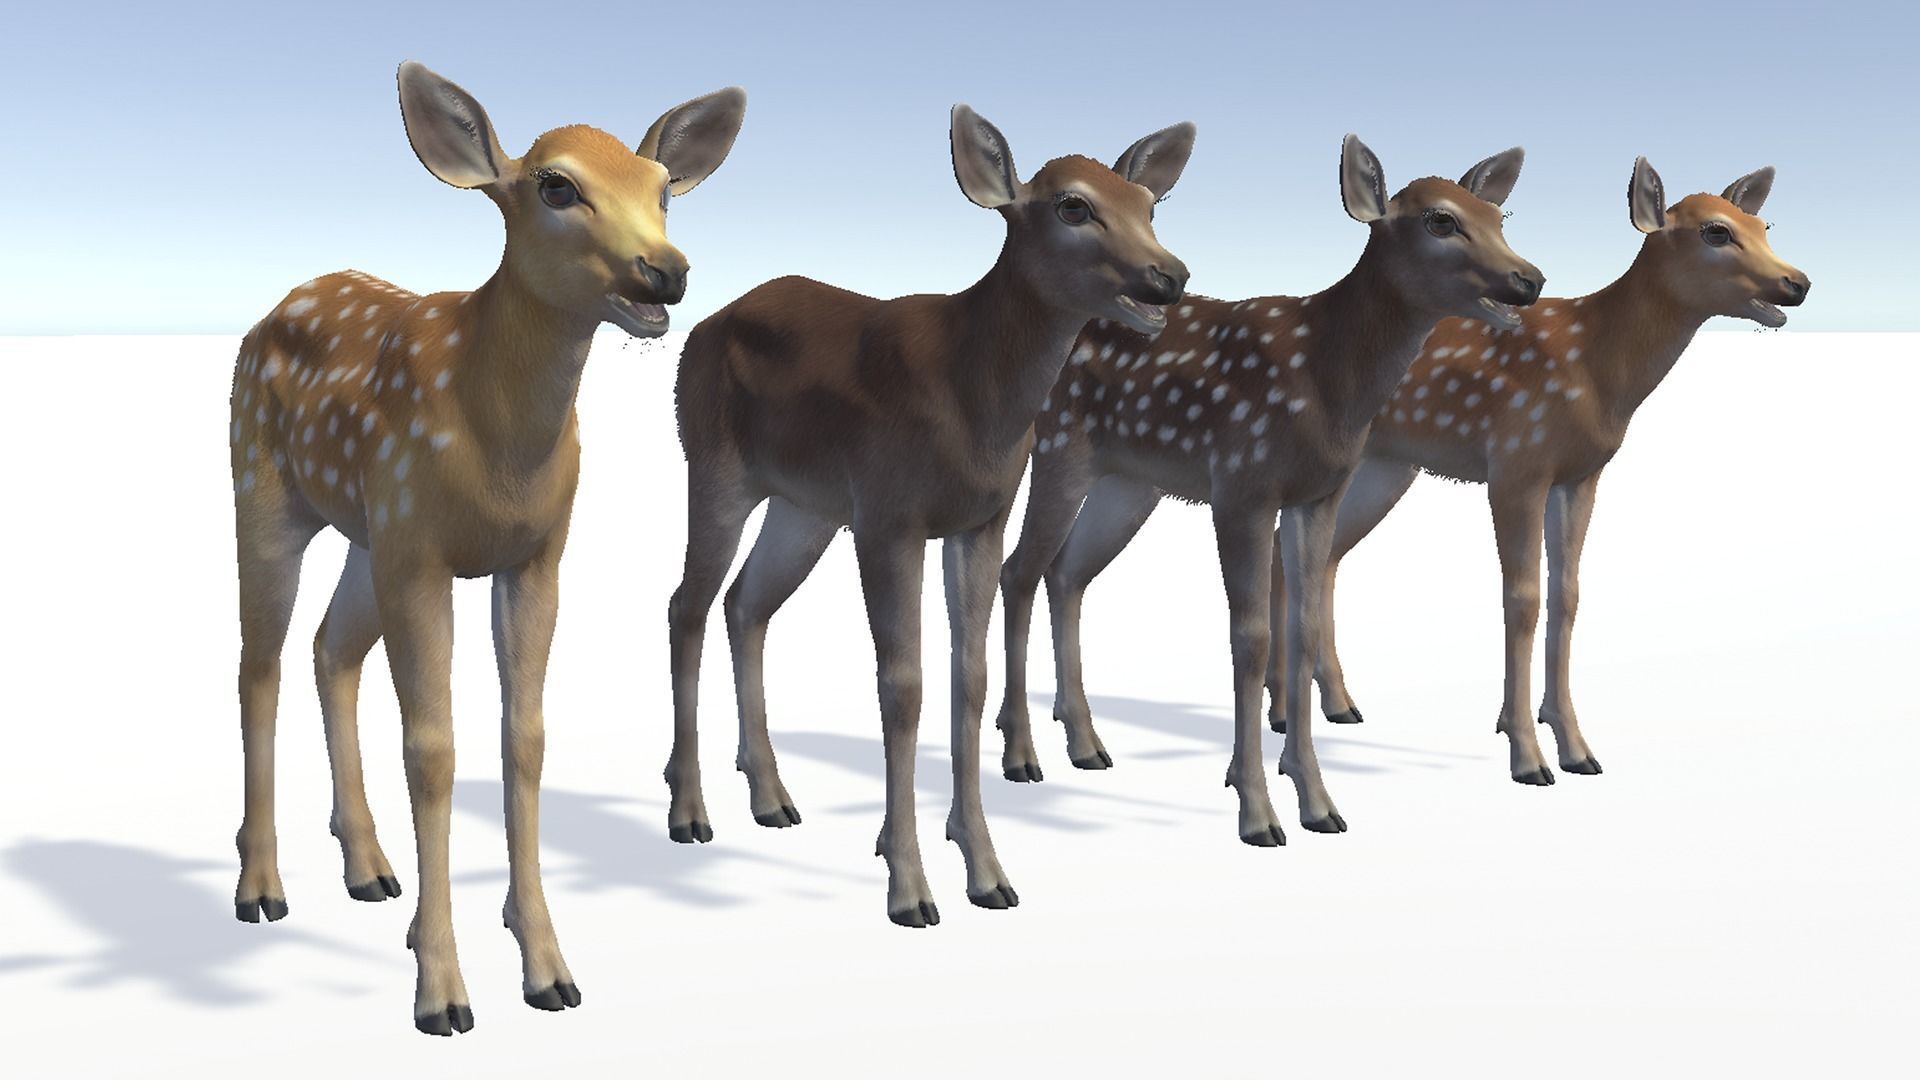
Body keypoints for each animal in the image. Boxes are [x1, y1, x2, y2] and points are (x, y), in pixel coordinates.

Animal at [227, 61, 745, 1035]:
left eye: (662, 187)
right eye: (555, 186)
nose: (666, 272)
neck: (498, 443)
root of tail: (274, 306)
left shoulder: (535, 554)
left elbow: (525, 737)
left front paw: (547, 967)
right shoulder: (424, 559)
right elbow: (432, 750)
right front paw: (441, 991)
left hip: (370, 533)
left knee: (328, 649)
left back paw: (369, 869)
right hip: (266, 491)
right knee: (259, 666)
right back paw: (261, 887)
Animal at [665, 105, 1193, 927]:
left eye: (1149, 205)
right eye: (1072, 206)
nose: (1169, 276)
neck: (971, 397)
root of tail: (706, 323)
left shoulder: (979, 519)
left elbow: (966, 677)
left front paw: (988, 872)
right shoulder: (890, 516)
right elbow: (902, 685)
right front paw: (908, 886)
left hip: (806, 506)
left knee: (745, 603)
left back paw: (772, 798)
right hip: (715, 465)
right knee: (686, 605)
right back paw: (691, 812)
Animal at [993, 136, 1542, 846]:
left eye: (1500, 217)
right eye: (1441, 220)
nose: (1530, 279)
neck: (1325, 381)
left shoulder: (1317, 493)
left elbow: (1301, 629)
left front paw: (1319, 803)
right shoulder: (1241, 484)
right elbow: (1249, 638)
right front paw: (1255, 810)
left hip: (1131, 483)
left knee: (1067, 573)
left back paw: (1086, 743)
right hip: (1063, 448)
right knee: (1019, 570)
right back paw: (1021, 754)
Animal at [1288, 158, 1809, 785]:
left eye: (1762, 226)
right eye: (1716, 231)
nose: (1797, 282)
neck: (1598, 372)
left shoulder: (1579, 475)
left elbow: (1568, 594)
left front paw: (1576, 745)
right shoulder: (1517, 461)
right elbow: (1523, 597)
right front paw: (1526, 754)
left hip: (1388, 467)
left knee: (1321, 558)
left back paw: (1333, 705)